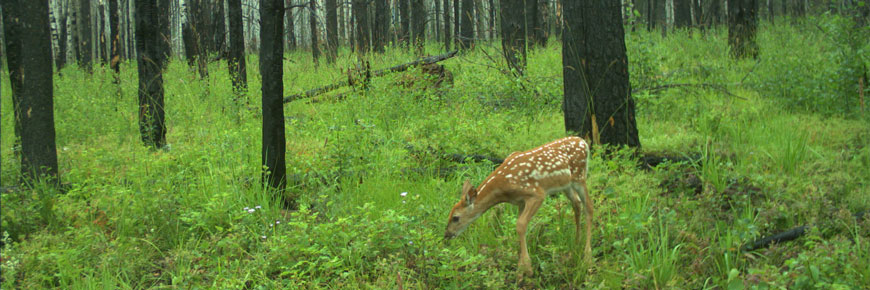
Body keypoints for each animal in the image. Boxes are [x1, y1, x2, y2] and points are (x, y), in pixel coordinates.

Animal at [446, 137, 596, 280]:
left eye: (455, 218)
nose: (446, 235)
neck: (503, 187)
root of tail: (583, 142)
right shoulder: (520, 201)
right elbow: (519, 227)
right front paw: (520, 269)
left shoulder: (537, 194)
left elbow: (520, 224)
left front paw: (527, 269)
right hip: (566, 184)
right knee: (577, 203)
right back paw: (577, 242)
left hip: (579, 176)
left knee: (589, 206)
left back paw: (587, 257)